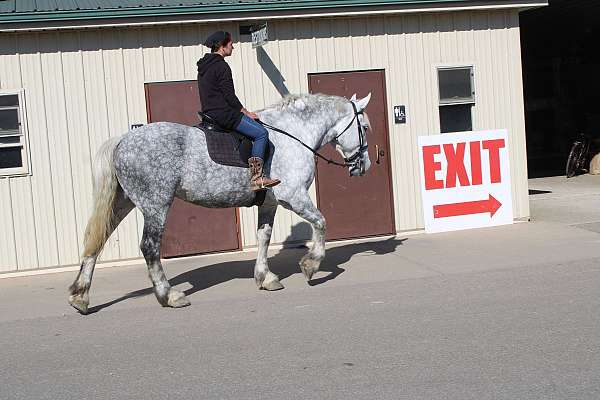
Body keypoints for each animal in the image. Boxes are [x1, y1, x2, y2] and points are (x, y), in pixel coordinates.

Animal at [68, 93, 372, 312]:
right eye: (365, 127)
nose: (364, 166)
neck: (293, 134)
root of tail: (124, 139)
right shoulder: (294, 197)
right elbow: (321, 223)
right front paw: (311, 266)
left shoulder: (269, 204)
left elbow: (263, 237)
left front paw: (266, 278)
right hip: (156, 205)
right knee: (149, 247)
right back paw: (169, 295)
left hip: (122, 203)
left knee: (97, 241)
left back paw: (80, 297)